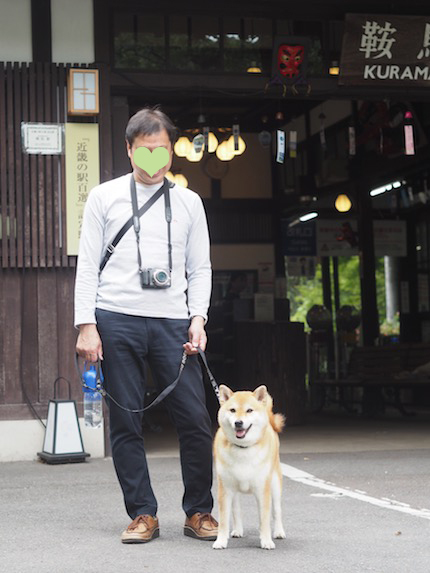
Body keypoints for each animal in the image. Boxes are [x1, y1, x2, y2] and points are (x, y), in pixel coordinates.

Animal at [212, 384, 286, 548]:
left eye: (249, 410)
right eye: (232, 410)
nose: (238, 423)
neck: (243, 448)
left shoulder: (262, 489)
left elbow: (264, 519)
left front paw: (266, 541)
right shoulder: (225, 489)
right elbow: (224, 520)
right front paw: (220, 541)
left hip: (275, 484)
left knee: (277, 511)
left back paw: (279, 531)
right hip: (234, 491)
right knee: (236, 510)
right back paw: (238, 530)